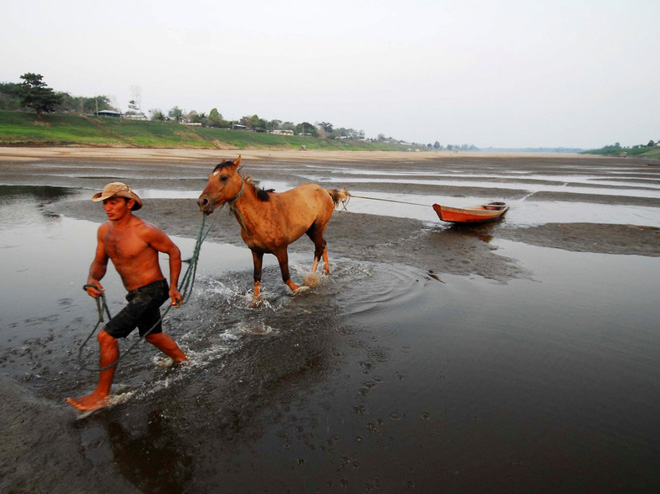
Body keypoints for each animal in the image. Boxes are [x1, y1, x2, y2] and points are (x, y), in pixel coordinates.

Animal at [197, 156, 348, 296]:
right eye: (210, 177)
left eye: (223, 177)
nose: (202, 202)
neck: (260, 215)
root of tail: (324, 190)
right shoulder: (256, 251)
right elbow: (257, 278)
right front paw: (255, 301)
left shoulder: (281, 249)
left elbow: (286, 277)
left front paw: (301, 289)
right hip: (311, 230)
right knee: (323, 244)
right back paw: (325, 272)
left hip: (317, 228)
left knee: (318, 248)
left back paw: (311, 279)